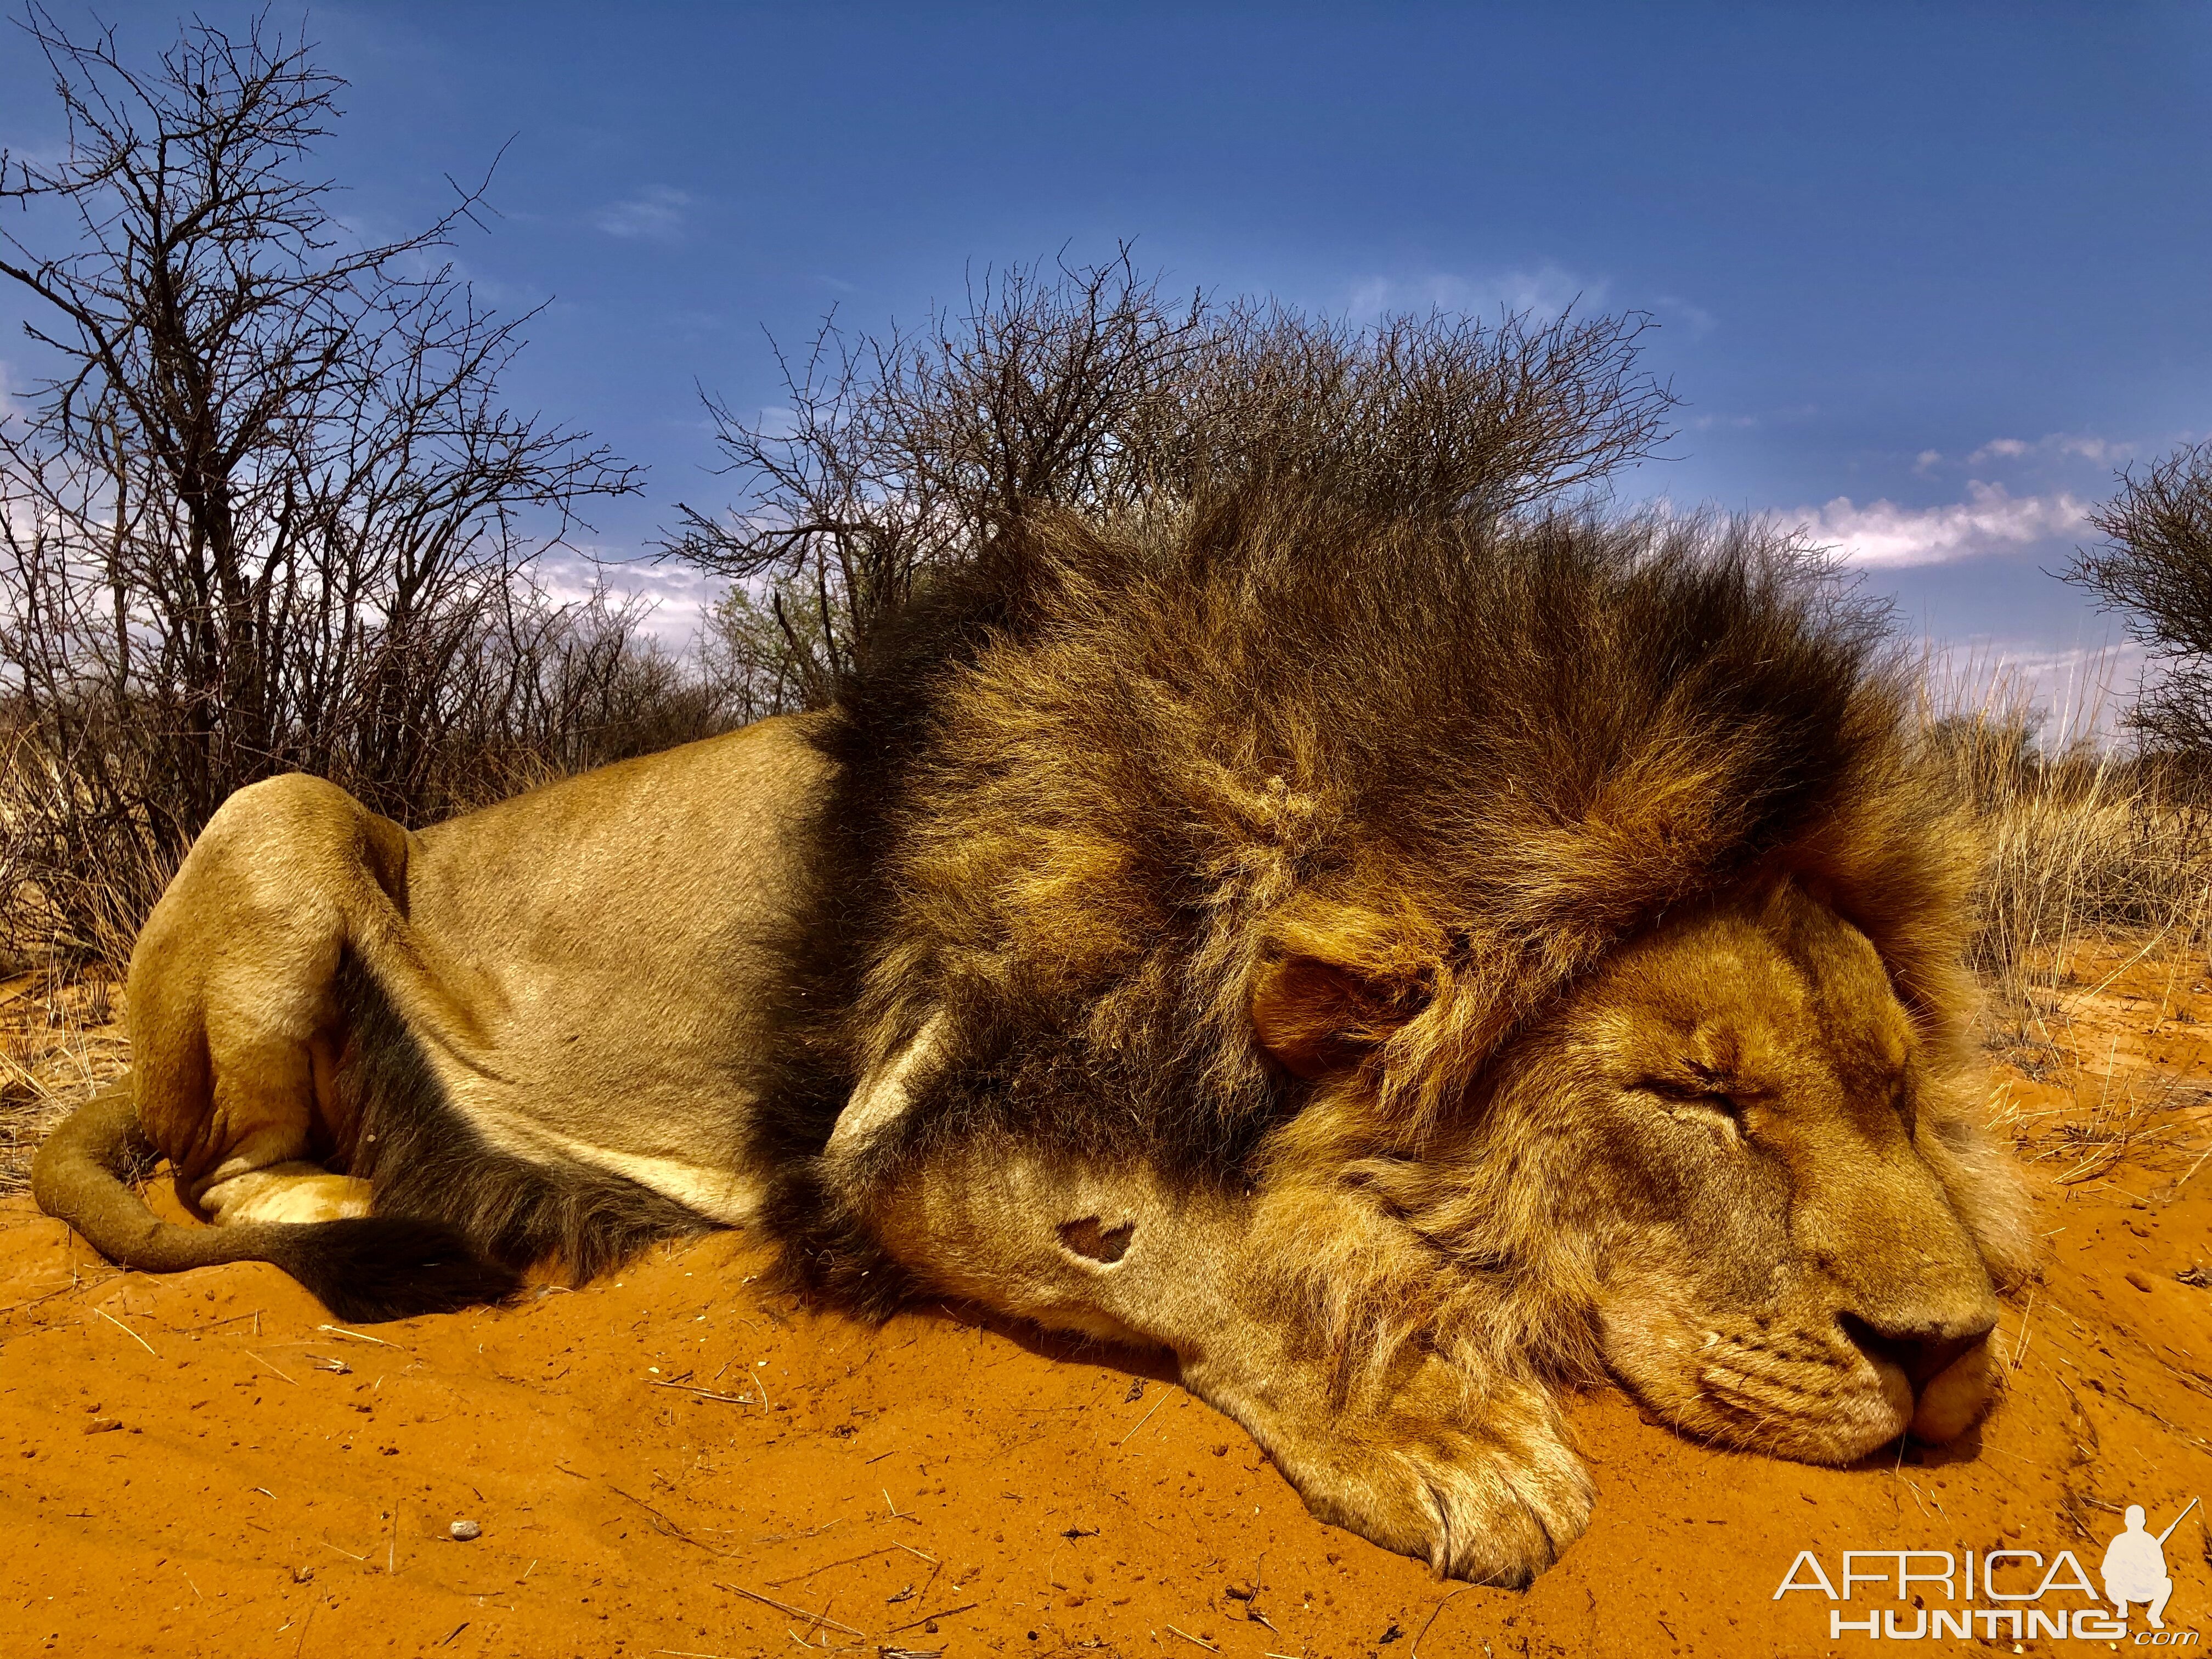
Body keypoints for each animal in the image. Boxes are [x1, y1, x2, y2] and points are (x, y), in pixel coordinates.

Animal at [35, 493, 2035, 1583]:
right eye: (1696, 1097)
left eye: (1893, 1086)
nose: (1951, 1361)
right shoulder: (886, 1145)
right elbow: (1192, 1243)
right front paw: (1445, 1422)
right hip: (284, 810)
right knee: (227, 1169)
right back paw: (380, 1203)